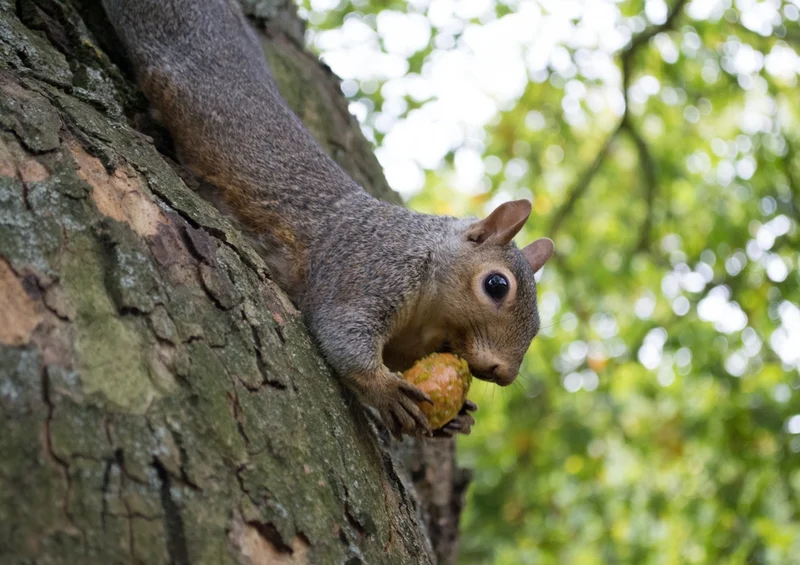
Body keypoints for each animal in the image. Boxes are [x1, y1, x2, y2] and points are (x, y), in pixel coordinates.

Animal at [102, 0, 554, 439]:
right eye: (496, 285)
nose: (504, 373)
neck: (430, 311)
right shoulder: (368, 267)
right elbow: (340, 331)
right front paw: (384, 390)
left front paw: (458, 418)